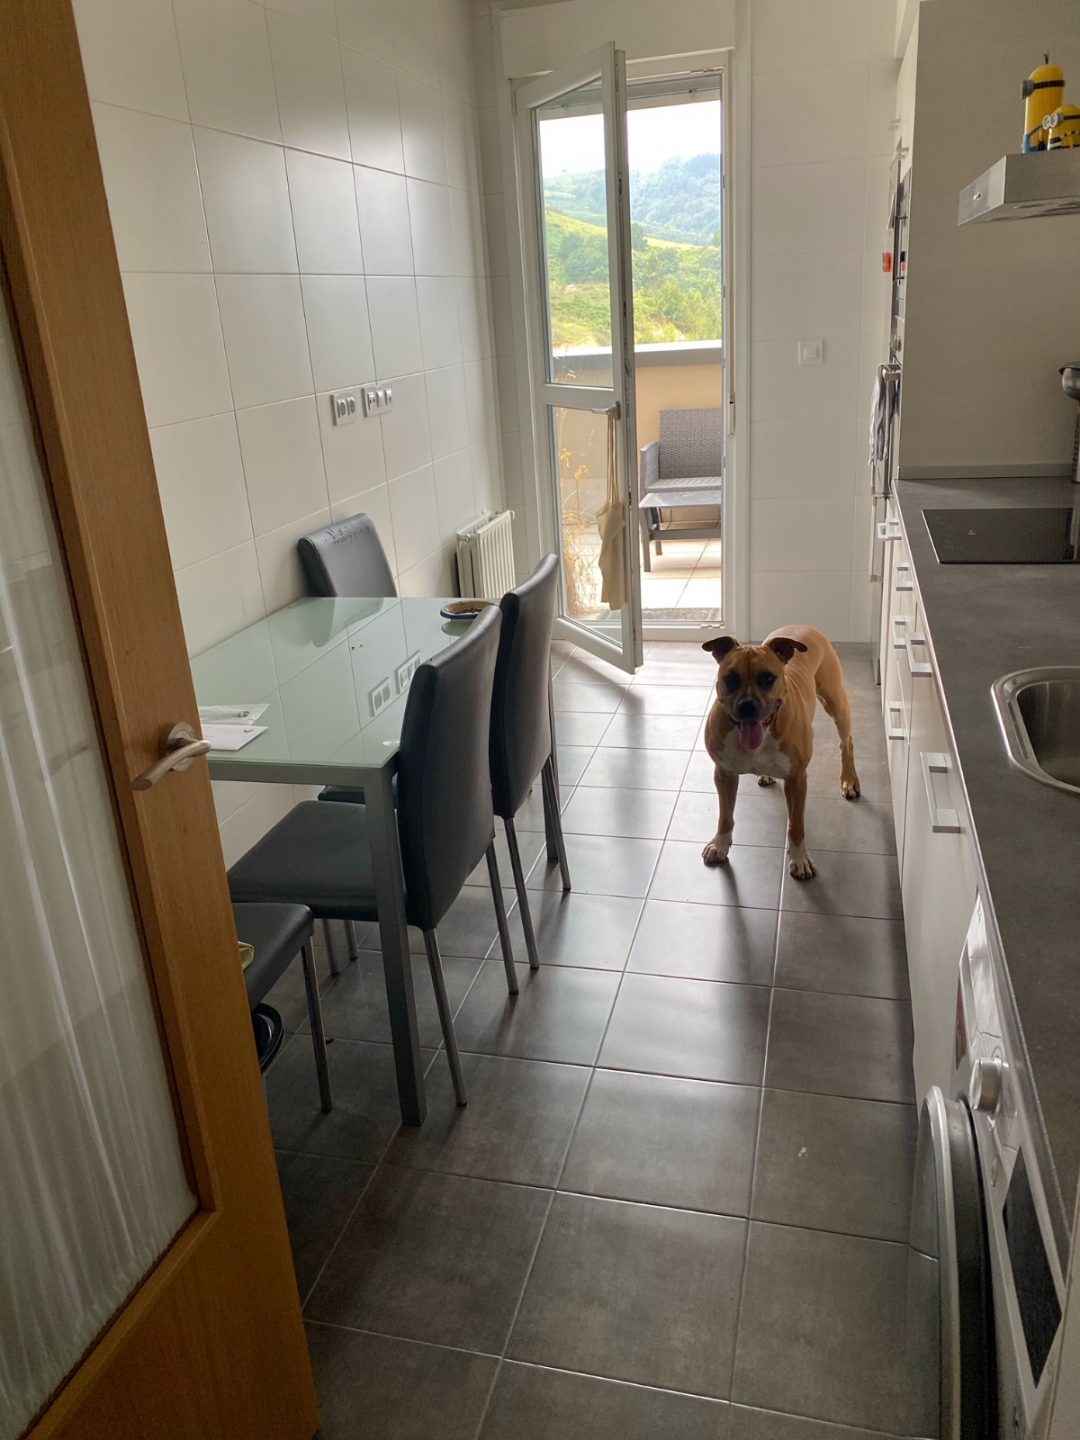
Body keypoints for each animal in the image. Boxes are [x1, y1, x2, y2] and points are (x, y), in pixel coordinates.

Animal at [700, 624, 860, 880]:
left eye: (767, 678)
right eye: (731, 679)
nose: (747, 705)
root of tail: (805, 626)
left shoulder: (797, 779)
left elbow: (796, 825)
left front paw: (799, 858)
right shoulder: (724, 774)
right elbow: (725, 816)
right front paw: (720, 845)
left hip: (837, 703)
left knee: (847, 743)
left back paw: (849, 780)